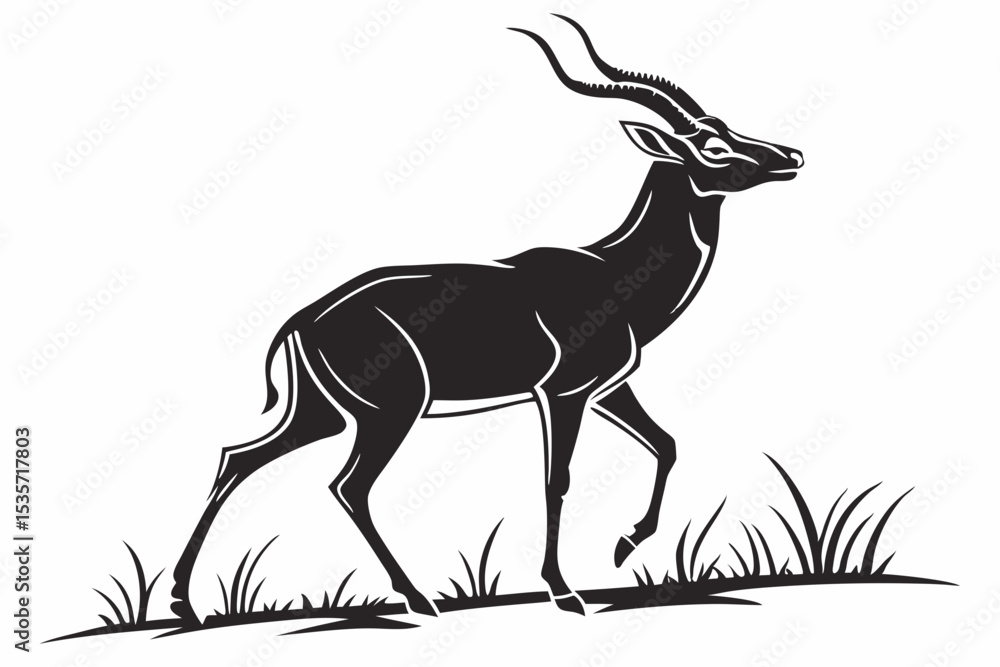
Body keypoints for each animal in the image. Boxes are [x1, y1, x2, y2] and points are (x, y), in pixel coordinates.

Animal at [170, 16, 803, 620]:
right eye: (711, 147)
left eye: (727, 127)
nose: (792, 157)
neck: (614, 274)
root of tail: (301, 320)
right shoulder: (562, 393)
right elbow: (556, 481)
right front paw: (564, 591)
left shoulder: (608, 389)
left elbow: (667, 444)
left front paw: (624, 547)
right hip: (391, 413)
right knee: (348, 486)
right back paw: (418, 599)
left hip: (323, 414)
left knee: (238, 458)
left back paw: (183, 600)